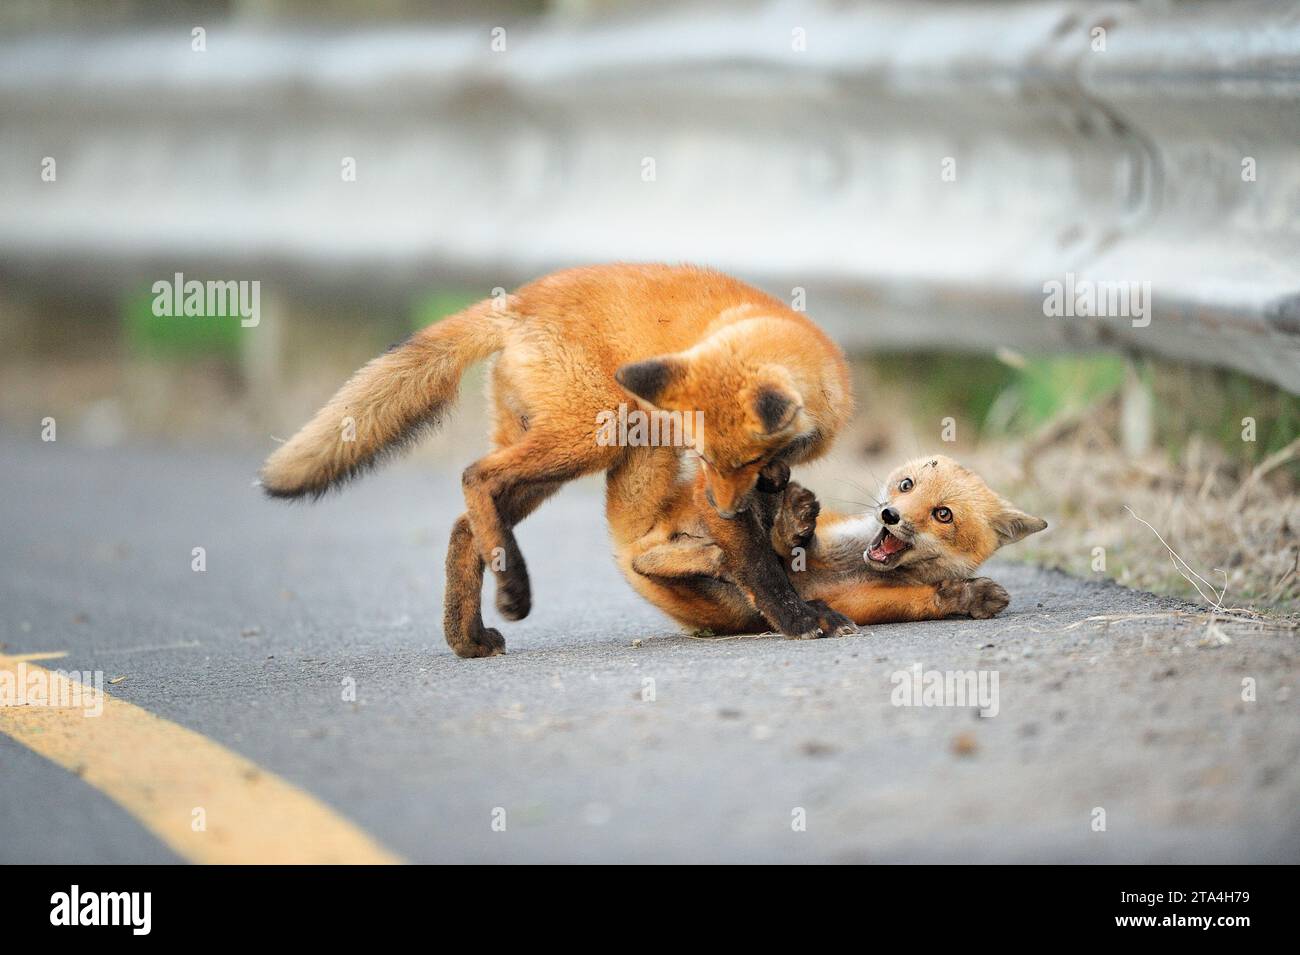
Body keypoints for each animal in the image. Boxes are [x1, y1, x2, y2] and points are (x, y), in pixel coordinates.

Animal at [260, 264, 855, 657]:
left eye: (747, 461)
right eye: (705, 458)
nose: (726, 508)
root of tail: (516, 303)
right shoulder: (703, 492)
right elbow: (758, 565)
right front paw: (798, 619)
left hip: (564, 449)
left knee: (464, 527)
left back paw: (468, 636)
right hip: (598, 436)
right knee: (474, 476)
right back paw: (514, 591)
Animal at [616, 454, 1048, 634]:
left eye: (943, 514)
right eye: (906, 484)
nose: (890, 514)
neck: (855, 565)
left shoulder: (855, 599)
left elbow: (915, 601)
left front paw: (966, 597)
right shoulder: (819, 548)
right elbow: (789, 547)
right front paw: (792, 527)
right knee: (647, 560)